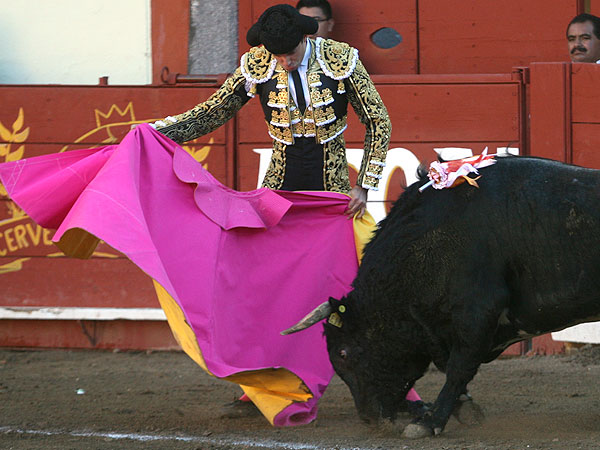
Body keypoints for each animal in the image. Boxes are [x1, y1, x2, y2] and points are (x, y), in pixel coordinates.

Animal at [284, 156, 600, 438]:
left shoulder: (477, 312)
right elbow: (451, 365)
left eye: (343, 353)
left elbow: (459, 367)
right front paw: (462, 408)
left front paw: (429, 422)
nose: (370, 419)